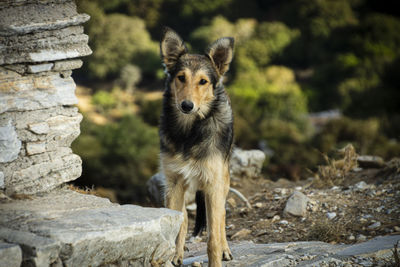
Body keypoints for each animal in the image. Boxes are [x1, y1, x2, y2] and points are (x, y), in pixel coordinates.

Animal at [159, 27, 234, 267]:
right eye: (181, 78)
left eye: (203, 81)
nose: (186, 106)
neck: (190, 132)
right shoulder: (173, 182)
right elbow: (176, 225)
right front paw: (174, 256)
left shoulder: (213, 184)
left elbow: (213, 239)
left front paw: (217, 257)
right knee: (183, 220)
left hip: (223, 178)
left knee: (221, 218)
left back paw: (226, 249)